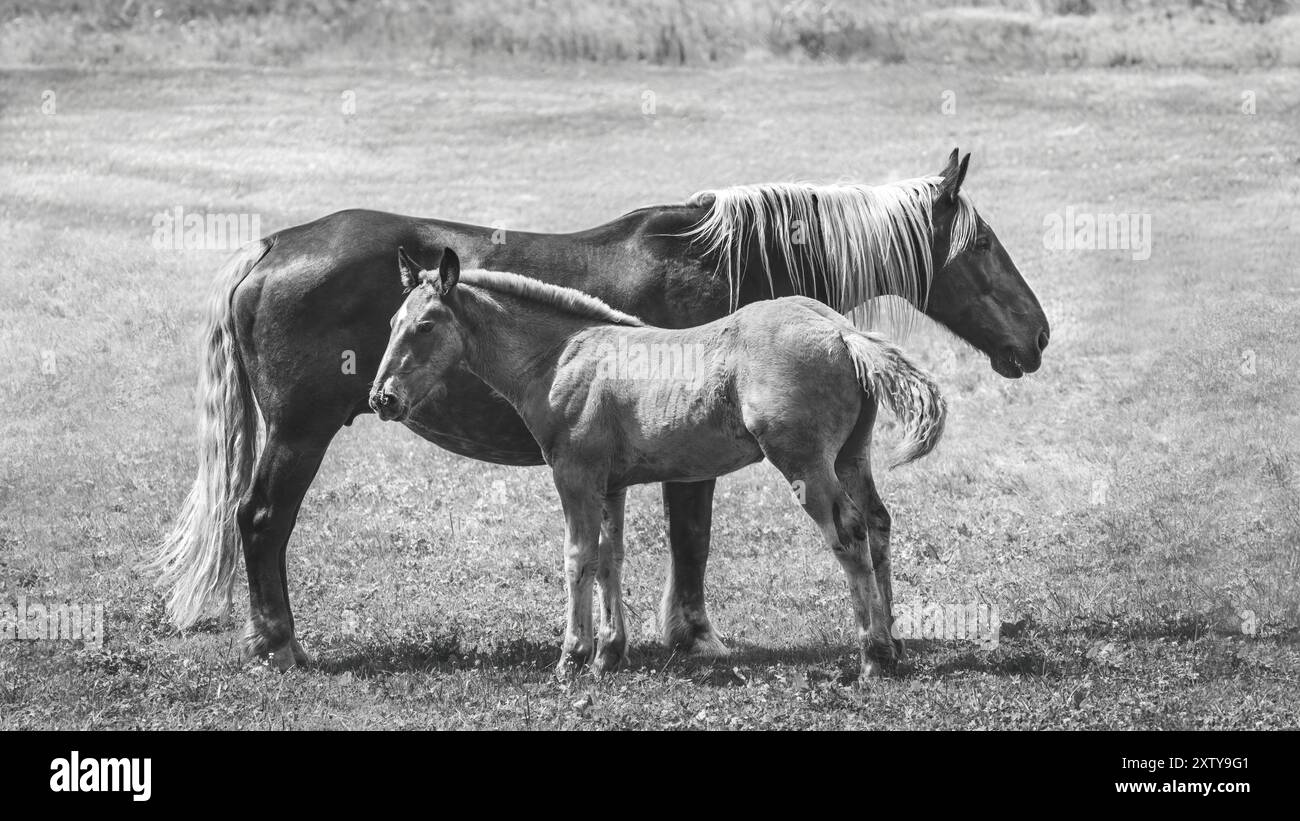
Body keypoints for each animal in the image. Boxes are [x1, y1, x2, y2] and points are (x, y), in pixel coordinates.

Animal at [371, 246, 951, 675]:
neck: (562, 356)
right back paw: (894, 642)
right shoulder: (611, 483)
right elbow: (610, 557)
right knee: (877, 522)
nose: (384, 399)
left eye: (426, 326)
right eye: (393, 321)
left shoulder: (573, 475)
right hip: (852, 457)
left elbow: (577, 557)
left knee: (848, 533)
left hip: (805, 465)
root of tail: (841, 331)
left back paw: (873, 654)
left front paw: (571, 657)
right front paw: (608, 654)